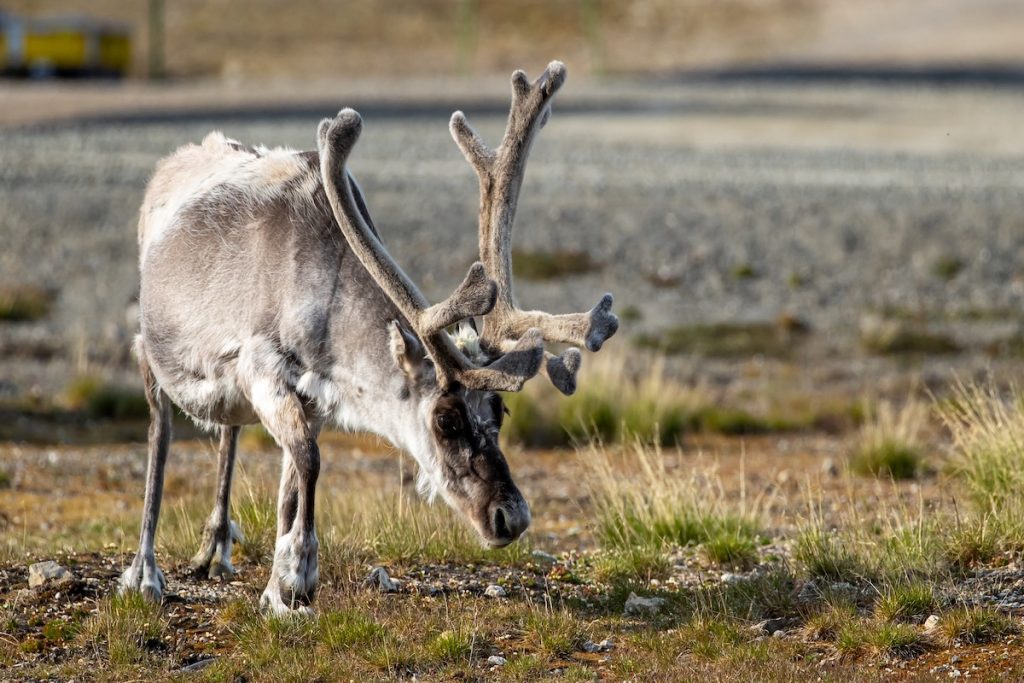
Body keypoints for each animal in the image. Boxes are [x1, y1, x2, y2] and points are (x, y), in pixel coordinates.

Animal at [120, 60, 618, 615]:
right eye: (445, 420)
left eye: (501, 411)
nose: (512, 517)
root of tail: (171, 165)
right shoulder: (262, 367)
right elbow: (309, 460)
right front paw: (296, 576)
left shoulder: (311, 397)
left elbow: (290, 485)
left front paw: (275, 584)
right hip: (150, 350)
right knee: (159, 433)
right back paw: (145, 573)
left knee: (228, 432)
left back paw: (214, 547)